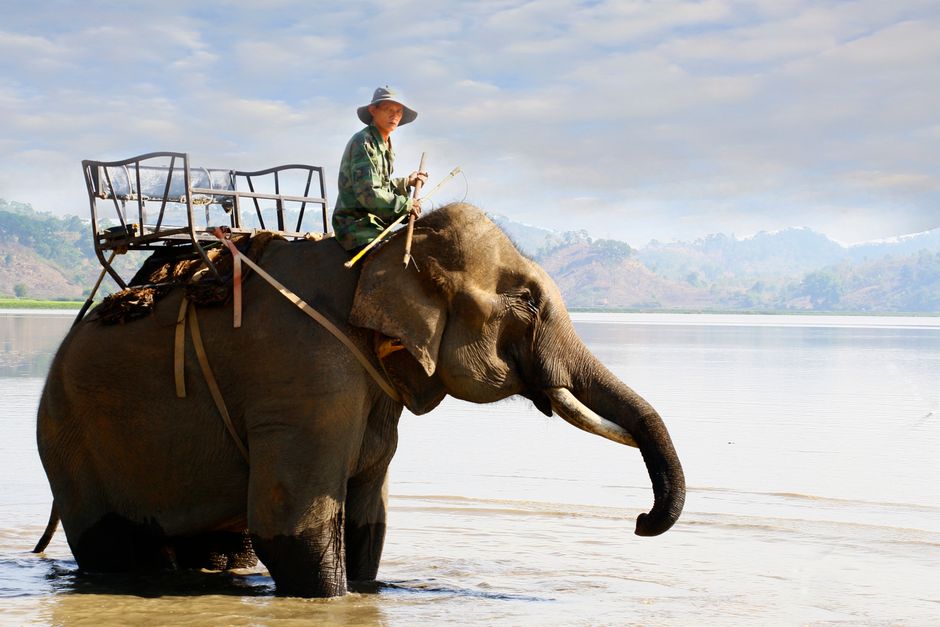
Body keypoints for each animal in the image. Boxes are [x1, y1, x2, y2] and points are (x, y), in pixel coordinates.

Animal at [36, 202, 685, 598]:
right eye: (526, 301)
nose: (640, 522)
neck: (382, 255)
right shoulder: (306, 376)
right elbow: (292, 526)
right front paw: (335, 598)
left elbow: (368, 522)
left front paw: (369, 589)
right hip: (73, 445)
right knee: (117, 547)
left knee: (223, 547)